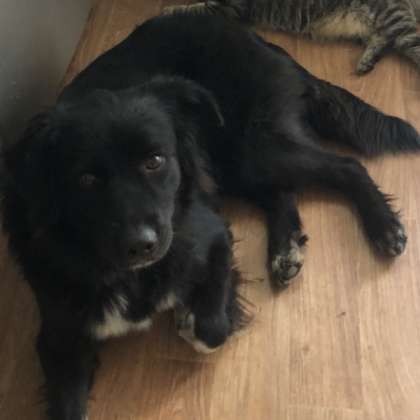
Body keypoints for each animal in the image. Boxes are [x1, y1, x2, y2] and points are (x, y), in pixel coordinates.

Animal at [2, 13, 419, 420]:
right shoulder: (60, 336)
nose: (142, 245)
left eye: (155, 161)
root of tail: (250, 34)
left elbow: (211, 330)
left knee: (346, 167)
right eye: (86, 180)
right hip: (236, 163)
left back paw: (384, 228)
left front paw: (190, 318)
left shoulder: (213, 235)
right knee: (281, 192)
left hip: (252, 147)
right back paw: (284, 251)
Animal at [164, 0, 420, 75]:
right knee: (383, 39)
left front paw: (167, 11)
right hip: (368, 26)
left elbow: (190, 9)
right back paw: (367, 61)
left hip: (395, 21)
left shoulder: (228, 8)